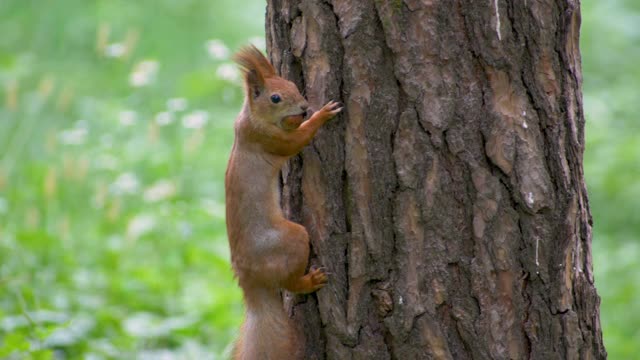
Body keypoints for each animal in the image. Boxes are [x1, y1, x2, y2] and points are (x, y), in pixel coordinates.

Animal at [226, 45, 342, 360]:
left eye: (292, 84)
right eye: (275, 98)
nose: (303, 106)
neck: (250, 119)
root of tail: (249, 278)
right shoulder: (268, 139)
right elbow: (296, 141)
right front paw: (321, 115)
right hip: (290, 239)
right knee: (289, 282)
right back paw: (309, 281)